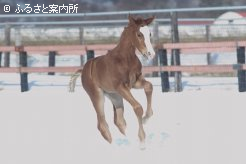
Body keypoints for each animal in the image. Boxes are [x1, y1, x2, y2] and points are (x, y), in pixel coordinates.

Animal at [68, 15, 155, 146]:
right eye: (139, 34)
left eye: (149, 33)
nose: (151, 54)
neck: (125, 59)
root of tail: (83, 69)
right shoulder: (120, 87)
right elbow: (138, 107)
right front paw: (142, 140)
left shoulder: (135, 82)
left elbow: (149, 86)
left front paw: (146, 118)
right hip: (98, 96)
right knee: (102, 124)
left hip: (115, 96)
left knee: (119, 121)